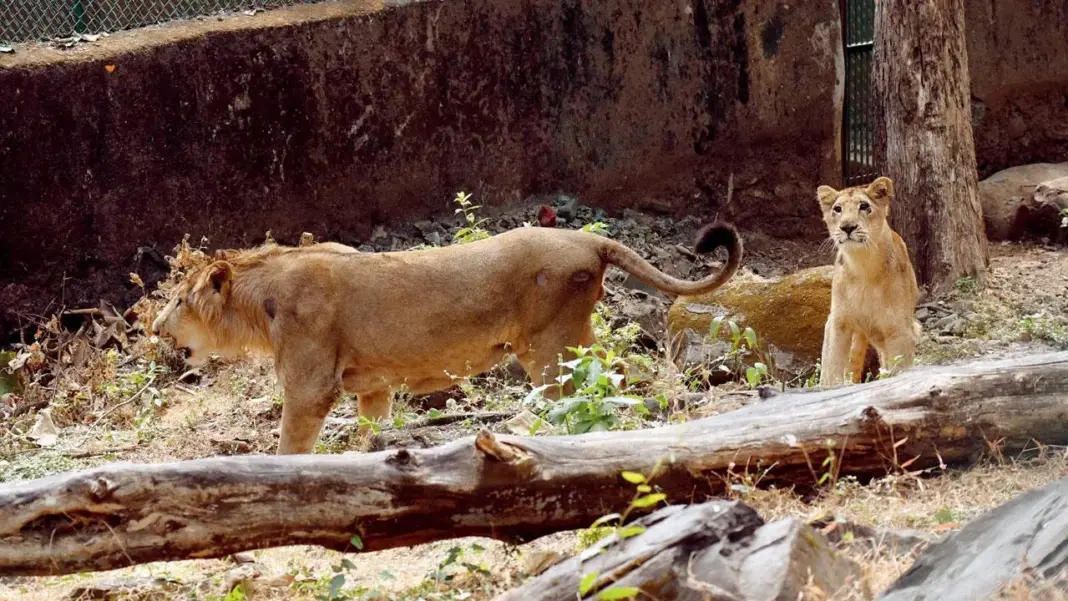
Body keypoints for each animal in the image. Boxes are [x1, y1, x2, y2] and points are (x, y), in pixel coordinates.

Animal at [151, 223, 742, 454]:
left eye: (179, 301)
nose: (154, 328)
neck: (260, 300)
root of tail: (588, 239)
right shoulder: (373, 387)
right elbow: (372, 432)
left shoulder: (310, 386)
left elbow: (290, 447)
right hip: (571, 340)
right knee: (618, 376)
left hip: (548, 346)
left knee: (576, 396)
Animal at [816, 176, 920, 386]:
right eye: (837, 209)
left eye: (864, 206)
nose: (847, 227)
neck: (863, 265)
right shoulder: (838, 322)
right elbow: (832, 366)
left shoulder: (900, 330)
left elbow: (900, 370)